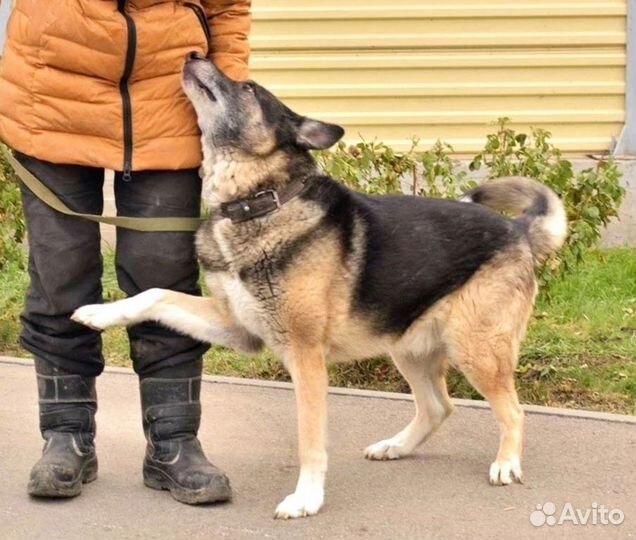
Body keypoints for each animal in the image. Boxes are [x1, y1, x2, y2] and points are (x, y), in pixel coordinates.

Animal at [72, 51, 568, 520]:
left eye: (249, 88)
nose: (194, 53)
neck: (260, 203)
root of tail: (518, 230)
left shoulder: (306, 359)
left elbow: (309, 438)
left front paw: (306, 498)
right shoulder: (237, 327)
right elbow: (155, 294)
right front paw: (99, 312)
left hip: (475, 350)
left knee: (512, 410)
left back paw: (506, 463)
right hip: (409, 348)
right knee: (438, 407)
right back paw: (396, 446)